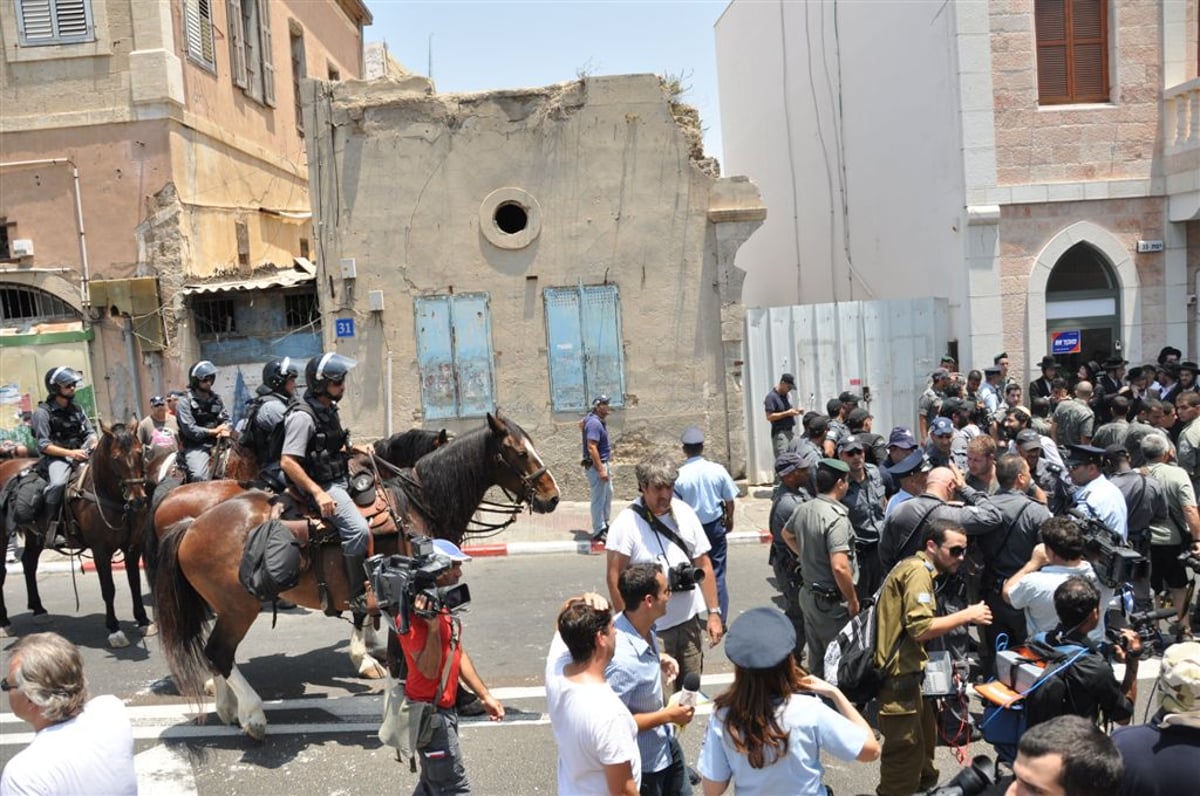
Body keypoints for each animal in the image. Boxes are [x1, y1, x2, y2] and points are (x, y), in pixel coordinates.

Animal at [0, 422, 150, 648]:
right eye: (115, 458)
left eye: (140, 452)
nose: (138, 500)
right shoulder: (100, 551)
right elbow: (108, 589)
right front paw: (114, 629)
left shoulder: (133, 547)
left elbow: (135, 583)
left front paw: (143, 620)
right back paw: (4, 623)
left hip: (35, 536)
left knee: (29, 563)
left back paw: (39, 610)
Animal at [153, 413, 556, 739]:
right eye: (519, 452)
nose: (552, 496)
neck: (417, 504)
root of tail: (190, 526)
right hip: (239, 608)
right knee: (218, 651)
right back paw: (251, 715)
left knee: (214, 650)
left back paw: (225, 706)